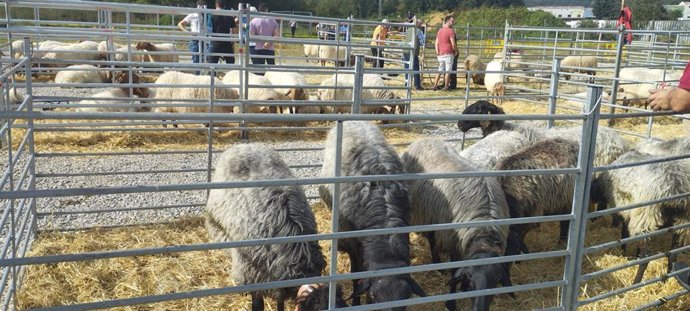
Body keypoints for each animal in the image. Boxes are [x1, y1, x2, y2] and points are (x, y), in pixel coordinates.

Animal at [398, 140, 510, 311]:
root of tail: (421, 141)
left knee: (433, 240)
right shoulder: (453, 243)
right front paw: (451, 302)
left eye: (497, 278)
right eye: (471, 276)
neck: (483, 230)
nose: (479, 308)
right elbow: (455, 271)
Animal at [588, 151, 688, 286]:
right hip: (681, 225)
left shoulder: (623, 210)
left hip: (645, 220)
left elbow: (624, 233)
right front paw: (634, 254)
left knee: (646, 258)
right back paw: (667, 279)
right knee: (673, 255)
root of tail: (676, 188)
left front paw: (623, 253)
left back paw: (636, 283)